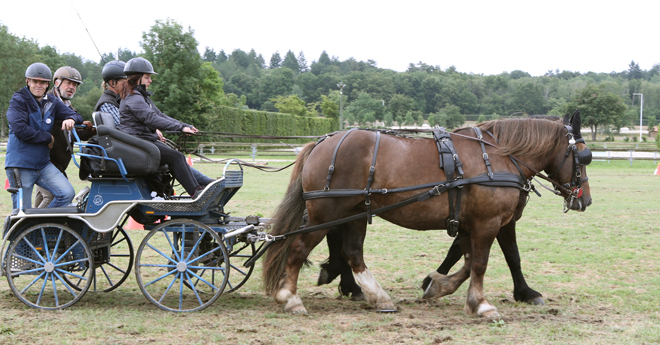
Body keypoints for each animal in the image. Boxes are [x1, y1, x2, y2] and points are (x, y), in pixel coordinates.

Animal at [262, 115, 592, 318]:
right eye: (584, 156)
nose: (585, 199)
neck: (500, 157)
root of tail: (321, 142)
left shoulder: (473, 223)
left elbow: (470, 260)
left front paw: (438, 285)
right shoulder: (490, 222)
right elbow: (486, 262)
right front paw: (482, 304)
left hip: (354, 212)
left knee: (352, 252)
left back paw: (375, 295)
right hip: (326, 213)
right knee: (298, 248)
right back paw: (290, 298)